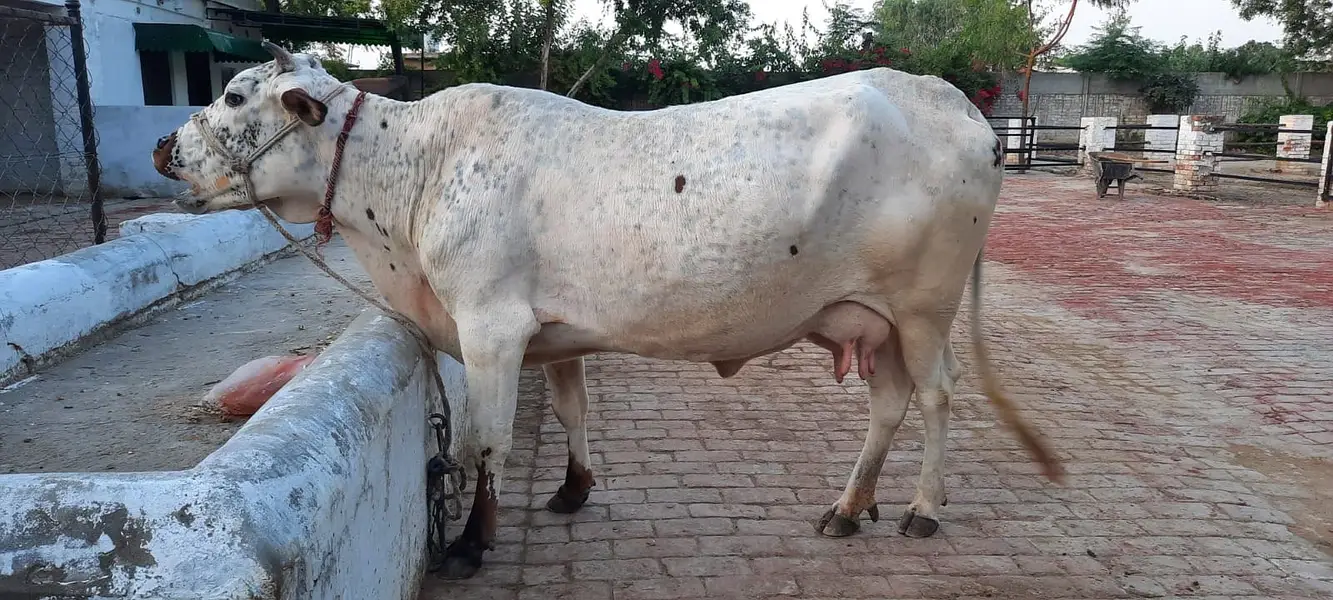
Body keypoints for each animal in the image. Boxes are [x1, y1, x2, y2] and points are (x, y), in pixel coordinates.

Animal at [152, 42, 1061, 580]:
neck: (415, 172)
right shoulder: (551, 336)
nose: (164, 147)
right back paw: (848, 507)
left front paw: (473, 542)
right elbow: (571, 408)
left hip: (923, 308)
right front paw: (573, 488)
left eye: (234, 98)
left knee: (935, 399)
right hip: (872, 320)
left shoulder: (489, 327)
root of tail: (956, 104)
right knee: (888, 404)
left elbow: (485, 442)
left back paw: (918, 510)